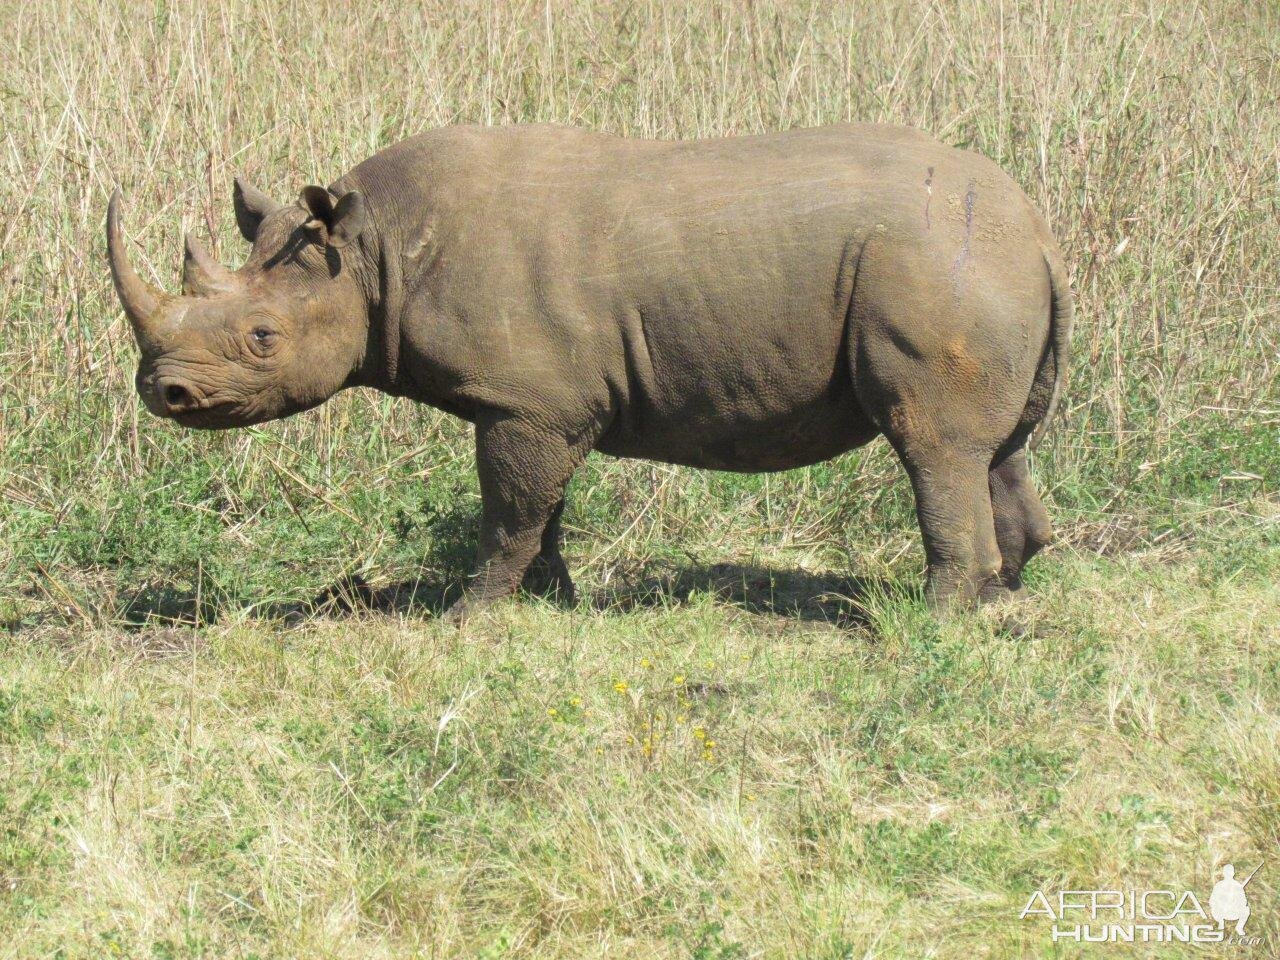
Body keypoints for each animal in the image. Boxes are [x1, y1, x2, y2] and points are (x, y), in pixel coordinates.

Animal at [107, 124, 1070, 624]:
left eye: (262, 337)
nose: (164, 394)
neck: (372, 249)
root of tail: (1037, 226)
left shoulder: (529, 403)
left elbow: (509, 511)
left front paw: (469, 620)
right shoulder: (539, 400)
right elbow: (542, 510)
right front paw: (550, 602)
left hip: (931, 266)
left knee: (933, 446)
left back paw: (927, 624)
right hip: (973, 265)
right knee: (996, 448)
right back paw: (1003, 598)